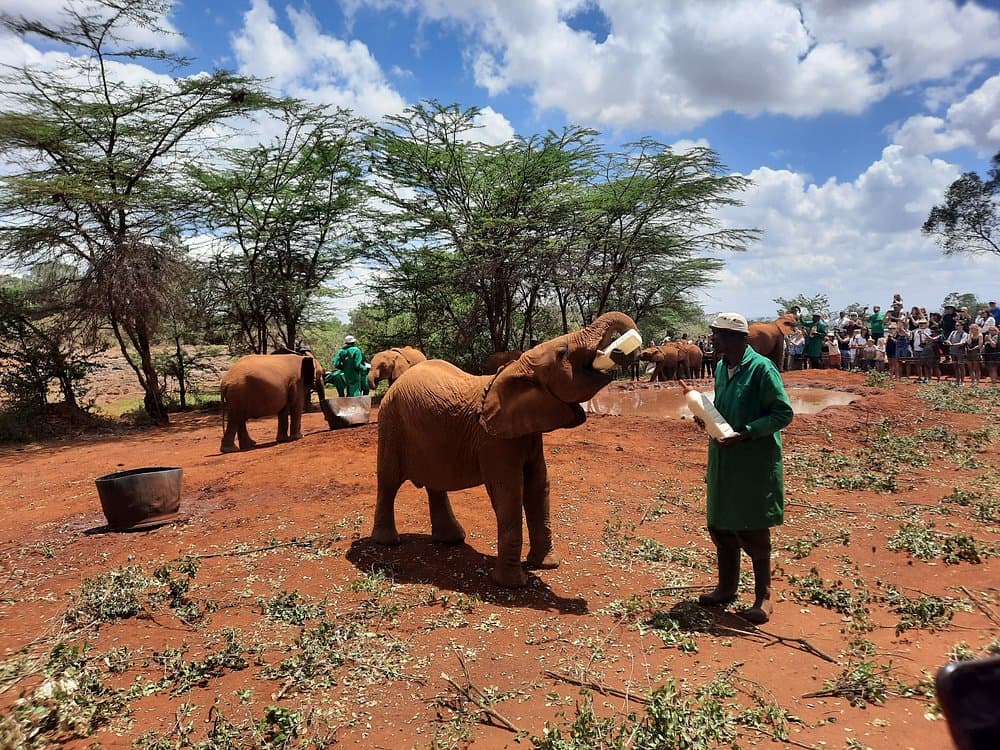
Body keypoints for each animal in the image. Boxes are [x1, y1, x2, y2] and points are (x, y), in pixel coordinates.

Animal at [371, 311, 640, 587]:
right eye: (563, 352)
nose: (621, 349)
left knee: (436, 482)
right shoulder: (493, 440)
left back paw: (451, 540)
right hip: (391, 423)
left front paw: (546, 565)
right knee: (389, 481)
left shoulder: (528, 433)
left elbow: (538, 486)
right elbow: (509, 491)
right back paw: (387, 542)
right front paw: (512, 583)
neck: (516, 367)